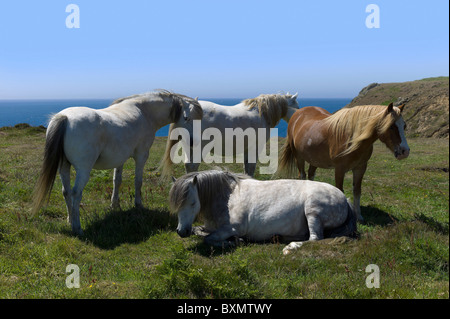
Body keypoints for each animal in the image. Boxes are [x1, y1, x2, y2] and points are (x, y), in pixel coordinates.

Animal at [33, 90, 204, 235]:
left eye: (200, 119)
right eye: (187, 118)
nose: (193, 142)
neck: (144, 112)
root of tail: (65, 118)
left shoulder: (120, 158)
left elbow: (117, 180)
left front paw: (114, 205)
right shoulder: (141, 155)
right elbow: (138, 181)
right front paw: (138, 205)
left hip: (64, 167)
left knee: (66, 192)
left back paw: (70, 220)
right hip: (83, 169)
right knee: (76, 193)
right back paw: (77, 228)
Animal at [162, 92, 298, 178]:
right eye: (297, 105)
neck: (262, 113)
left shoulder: (248, 148)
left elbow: (247, 167)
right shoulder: (256, 148)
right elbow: (251, 168)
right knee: (192, 165)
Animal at [169, 170, 358, 255]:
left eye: (193, 203)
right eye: (177, 206)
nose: (181, 231)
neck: (227, 197)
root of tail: (345, 199)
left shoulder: (231, 228)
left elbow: (208, 238)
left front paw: (233, 242)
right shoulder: (210, 227)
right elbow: (200, 232)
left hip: (313, 213)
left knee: (314, 239)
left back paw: (290, 247)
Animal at [276, 103, 410, 222]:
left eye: (404, 126)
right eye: (391, 126)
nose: (405, 151)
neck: (353, 137)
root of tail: (297, 113)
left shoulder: (360, 168)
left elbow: (357, 191)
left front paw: (358, 216)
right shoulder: (340, 169)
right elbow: (340, 190)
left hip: (314, 160)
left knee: (311, 175)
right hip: (299, 157)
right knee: (302, 176)